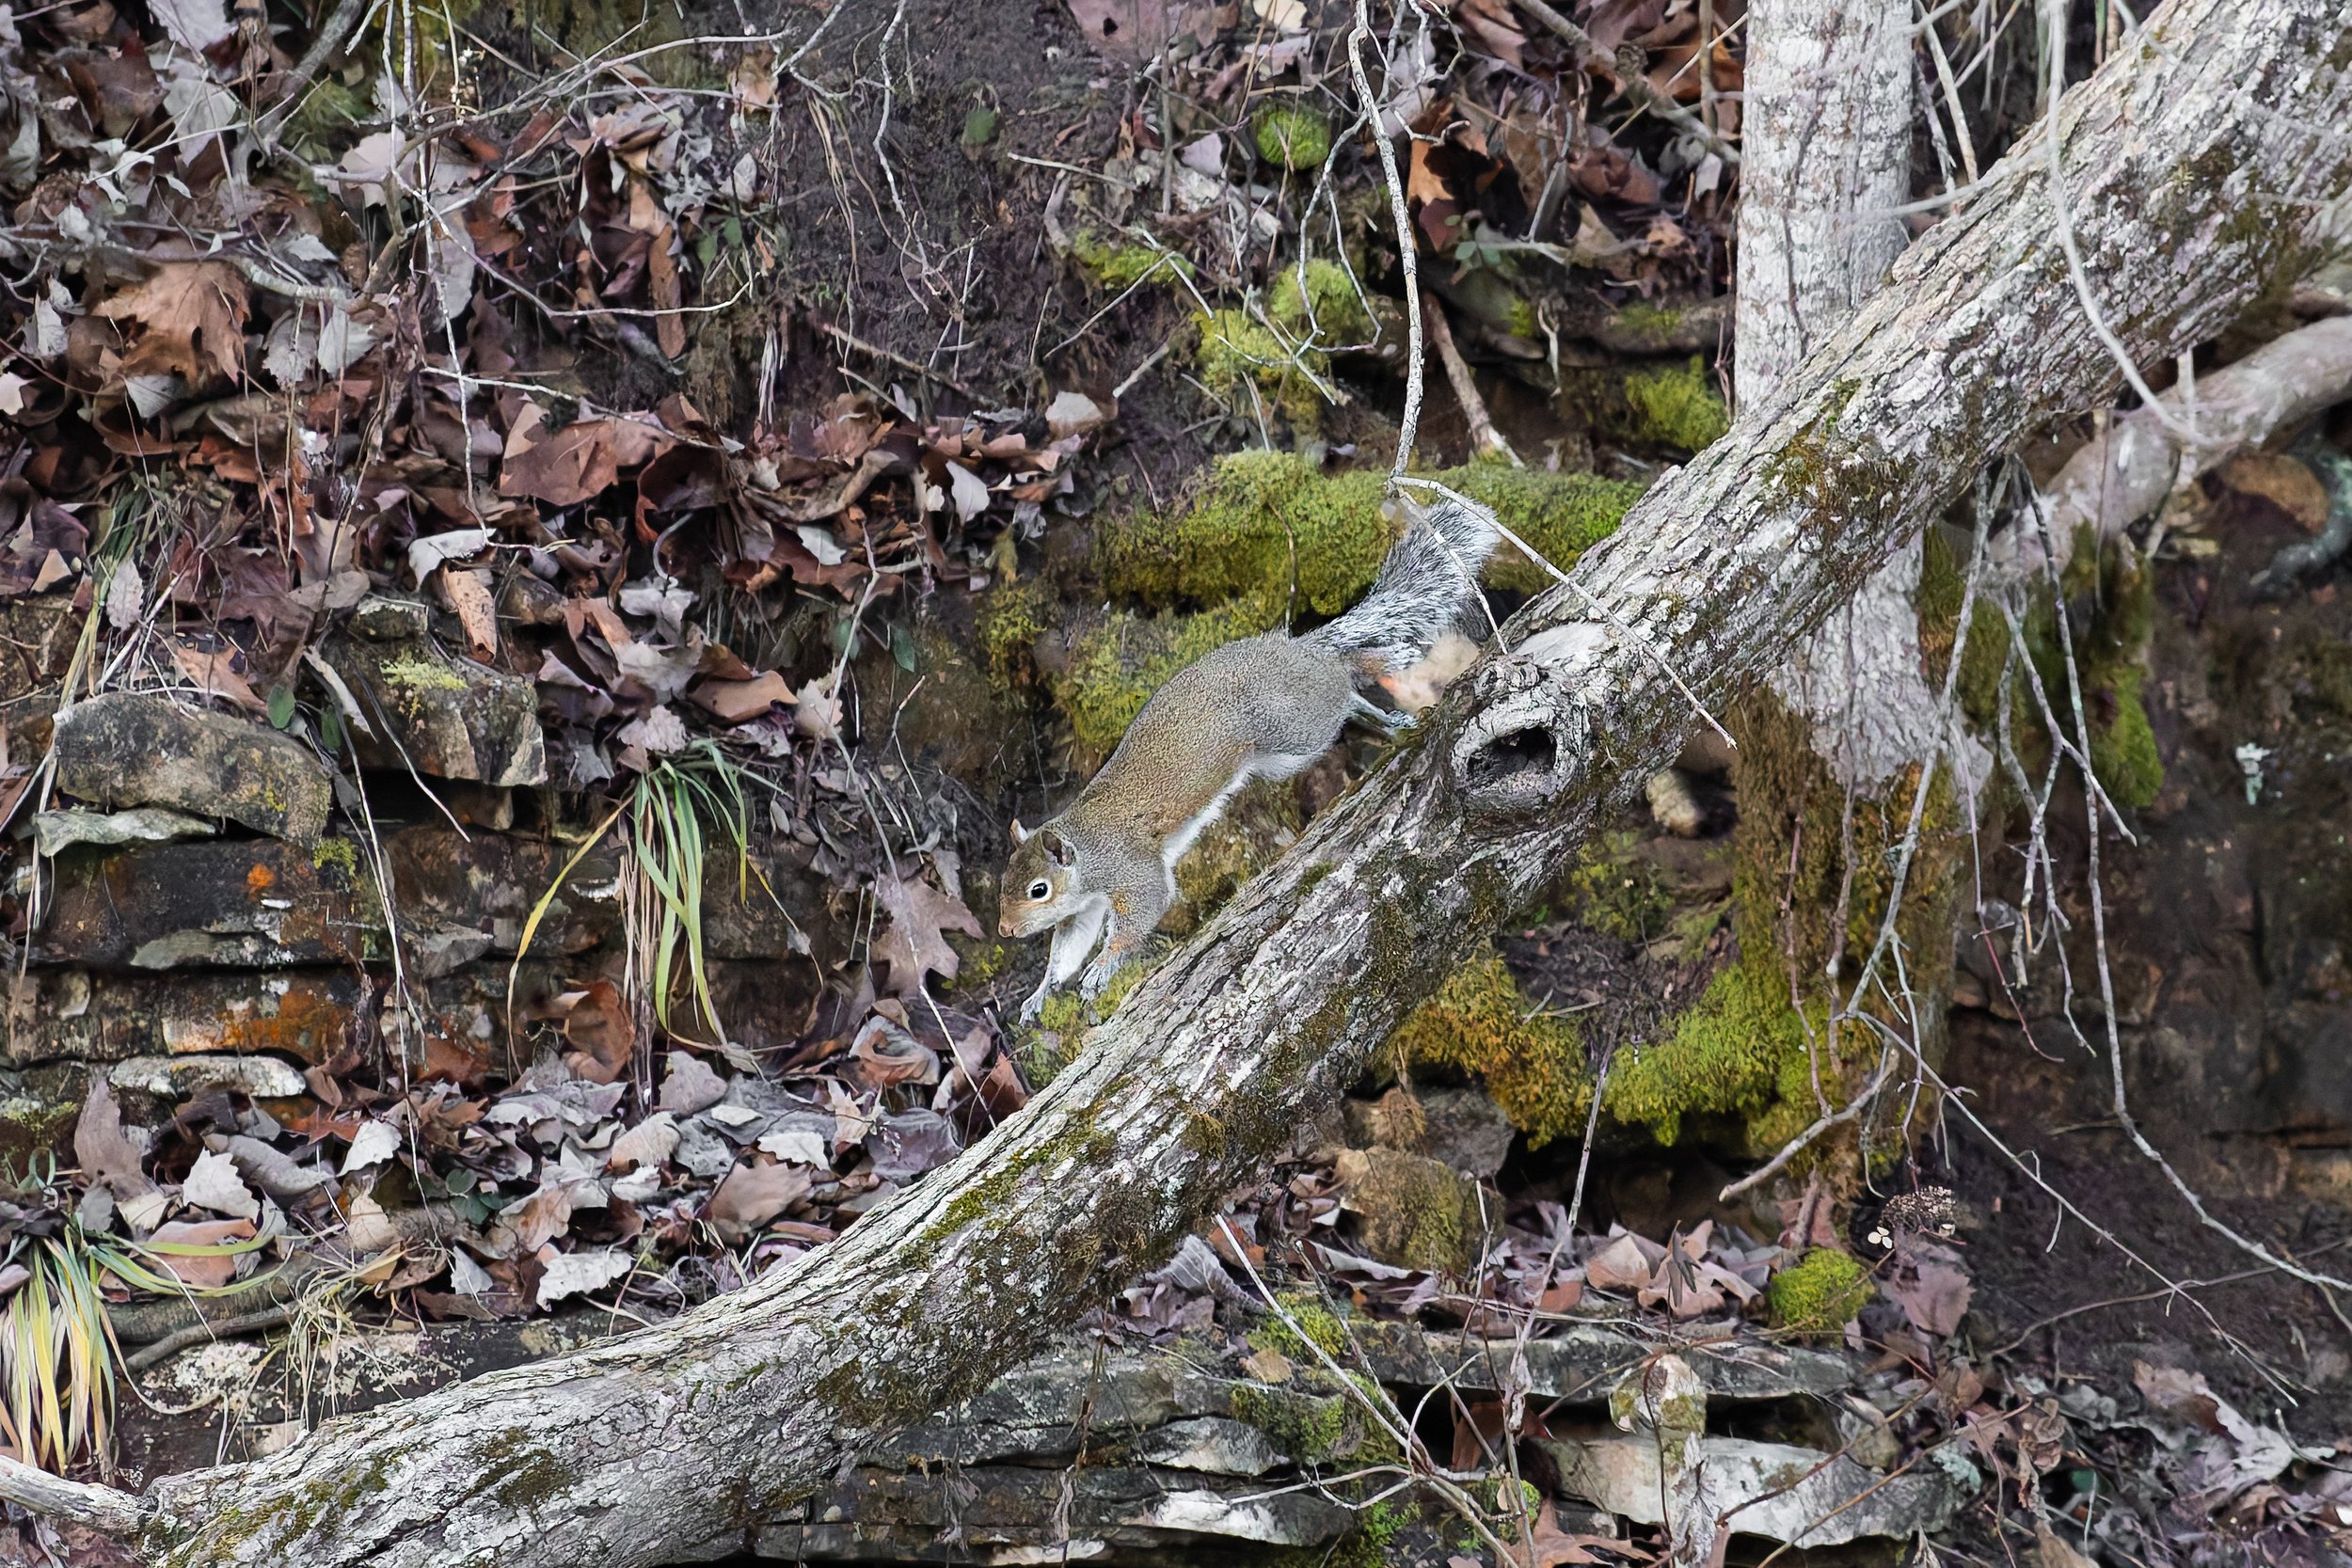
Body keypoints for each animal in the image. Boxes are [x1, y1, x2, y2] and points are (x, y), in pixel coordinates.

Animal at [998, 495, 1499, 1021]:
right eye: (1005, 881)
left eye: (1038, 890)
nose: (1006, 930)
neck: (1085, 846)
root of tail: (1299, 649)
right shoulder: (1085, 907)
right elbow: (1067, 948)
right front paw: (1039, 993)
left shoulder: (1131, 869)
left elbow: (1147, 908)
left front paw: (1104, 966)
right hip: (1283, 751)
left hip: (1296, 727)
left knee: (1344, 678)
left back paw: (1376, 671)